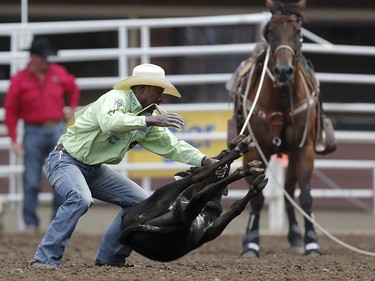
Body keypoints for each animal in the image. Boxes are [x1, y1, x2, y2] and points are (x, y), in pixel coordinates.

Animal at [228, 0, 324, 256]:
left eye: (298, 32)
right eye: (270, 31)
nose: (283, 71)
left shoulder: (304, 149)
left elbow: (306, 194)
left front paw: (312, 241)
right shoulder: (256, 149)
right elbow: (257, 197)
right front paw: (251, 242)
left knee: (289, 190)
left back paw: (295, 237)